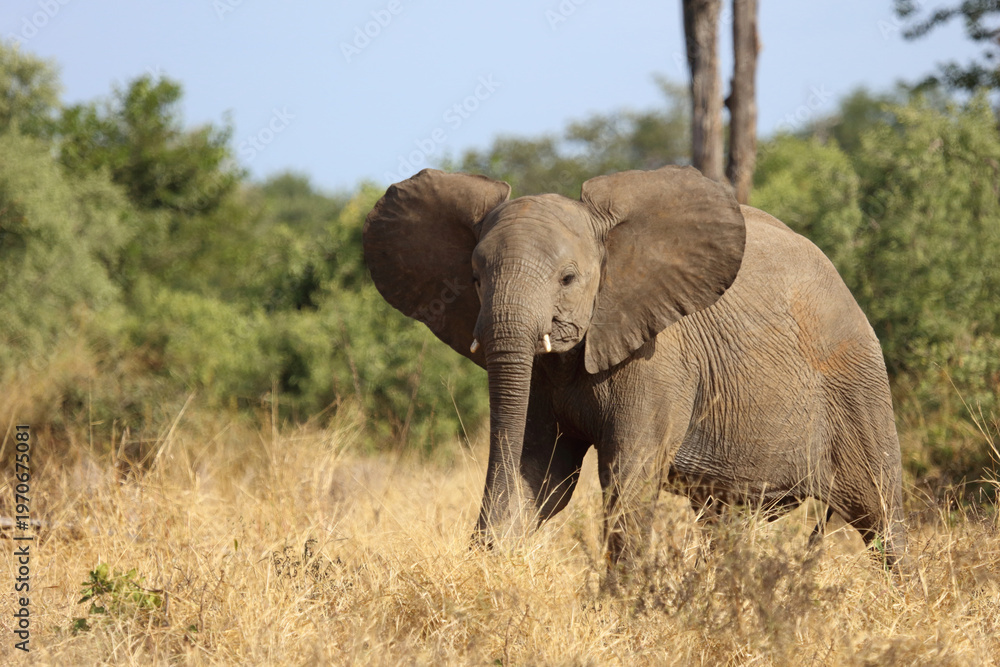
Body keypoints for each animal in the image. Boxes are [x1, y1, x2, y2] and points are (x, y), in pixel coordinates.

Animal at [363, 165, 906, 575]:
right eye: (474, 278)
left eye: (568, 278)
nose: (483, 550)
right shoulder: (544, 375)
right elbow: (540, 475)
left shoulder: (660, 359)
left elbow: (628, 475)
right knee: (726, 521)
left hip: (856, 379)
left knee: (881, 512)